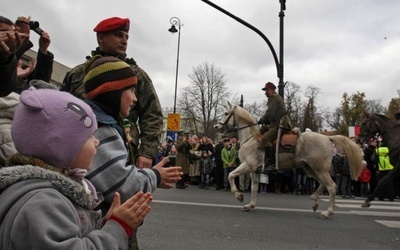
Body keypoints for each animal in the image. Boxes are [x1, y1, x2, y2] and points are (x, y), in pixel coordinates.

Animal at [217, 102, 364, 219]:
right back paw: (314, 202)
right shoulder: (255, 170)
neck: (252, 138)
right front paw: (250, 205)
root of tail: (327, 138)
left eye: (226, 113)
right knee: (323, 184)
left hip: (319, 169)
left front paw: (239, 196)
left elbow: (230, 175)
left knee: (332, 187)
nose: (217, 127)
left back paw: (327, 212)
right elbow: (253, 188)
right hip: (311, 169)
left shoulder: (247, 166)